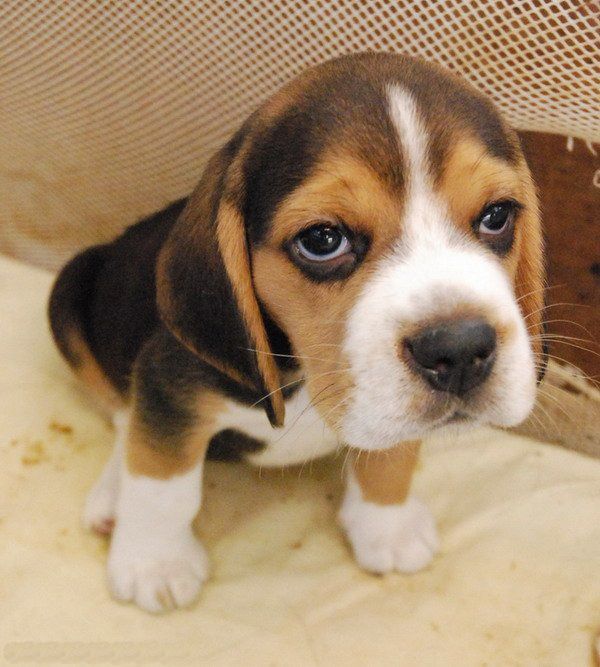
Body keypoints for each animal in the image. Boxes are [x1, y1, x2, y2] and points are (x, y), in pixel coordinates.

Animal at [49, 53, 545, 613]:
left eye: (497, 215)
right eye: (322, 240)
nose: (459, 351)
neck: (308, 378)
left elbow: (393, 455)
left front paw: (387, 525)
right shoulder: (166, 382)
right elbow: (163, 486)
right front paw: (154, 565)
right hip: (67, 292)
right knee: (122, 417)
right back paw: (114, 493)